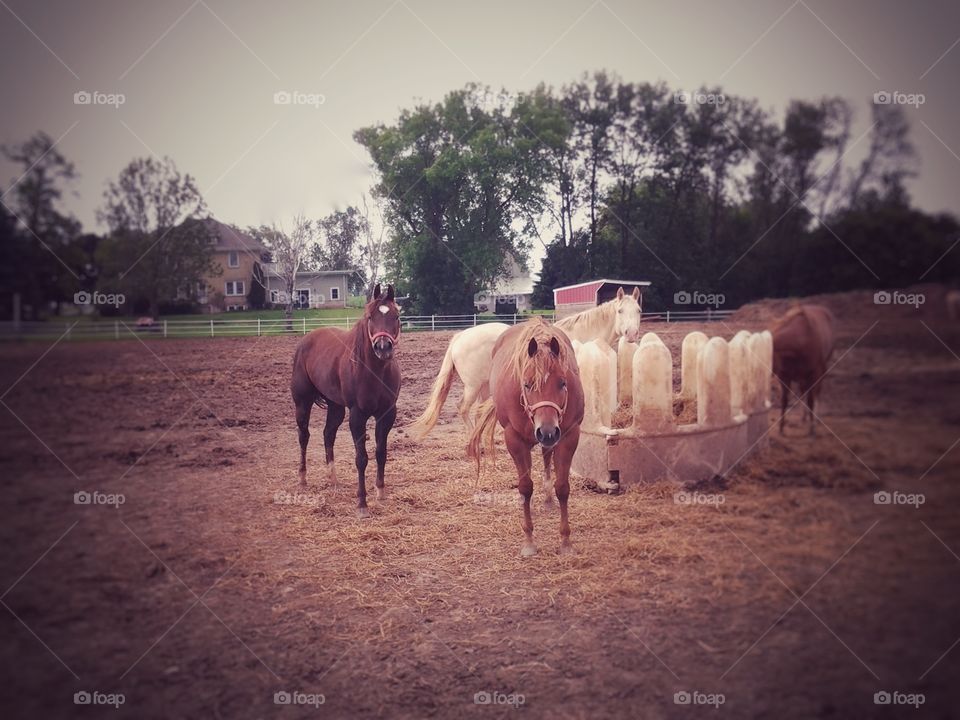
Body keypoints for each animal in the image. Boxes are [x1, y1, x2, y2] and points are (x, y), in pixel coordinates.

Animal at [288, 282, 402, 516]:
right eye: (370, 317)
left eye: (395, 316)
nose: (383, 347)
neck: (374, 372)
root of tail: (306, 340)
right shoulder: (357, 416)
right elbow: (361, 458)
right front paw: (362, 503)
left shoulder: (387, 414)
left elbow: (381, 452)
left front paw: (380, 491)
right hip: (302, 403)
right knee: (304, 436)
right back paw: (302, 478)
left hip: (336, 408)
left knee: (328, 435)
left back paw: (332, 478)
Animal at [408, 288, 640, 436]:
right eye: (620, 311)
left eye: (638, 310)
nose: (631, 334)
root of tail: (460, 337)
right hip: (473, 386)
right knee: (463, 408)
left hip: (484, 386)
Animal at [466, 318, 584, 560]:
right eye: (528, 384)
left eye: (562, 383)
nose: (547, 431)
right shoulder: (515, 440)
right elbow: (525, 488)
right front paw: (529, 541)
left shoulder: (568, 436)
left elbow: (562, 487)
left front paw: (565, 541)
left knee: (547, 459)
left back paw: (548, 498)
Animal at [772, 302, 832, 434]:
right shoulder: (784, 376)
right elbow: (784, 400)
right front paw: (781, 427)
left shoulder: (814, 374)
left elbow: (811, 400)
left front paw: (812, 428)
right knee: (804, 391)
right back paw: (804, 417)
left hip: (821, 372)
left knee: (816, 392)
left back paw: (815, 419)